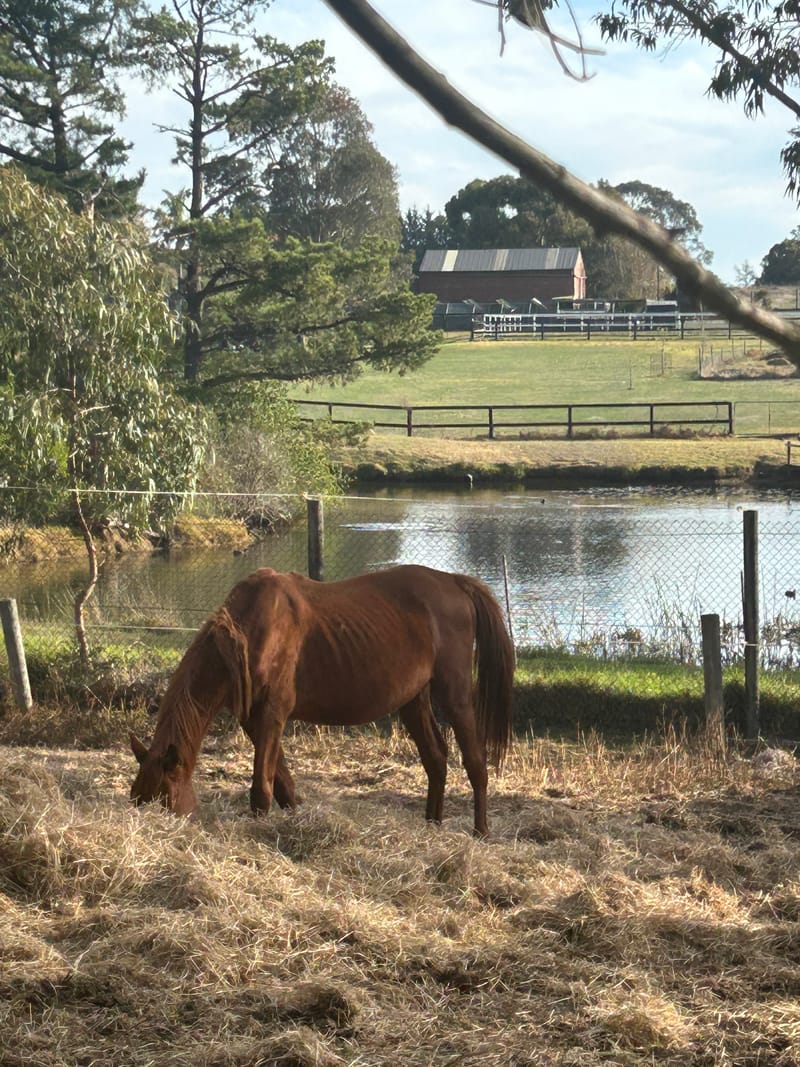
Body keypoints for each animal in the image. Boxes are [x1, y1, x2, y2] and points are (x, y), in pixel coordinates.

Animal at [130, 564, 515, 836]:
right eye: (138, 799)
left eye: (164, 801)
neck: (249, 630)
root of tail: (454, 582)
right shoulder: (254, 720)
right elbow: (283, 784)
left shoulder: (272, 715)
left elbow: (262, 789)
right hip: (412, 701)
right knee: (435, 759)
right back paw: (431, 826)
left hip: (454, 694)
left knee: (475, 762)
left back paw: (481, 832)